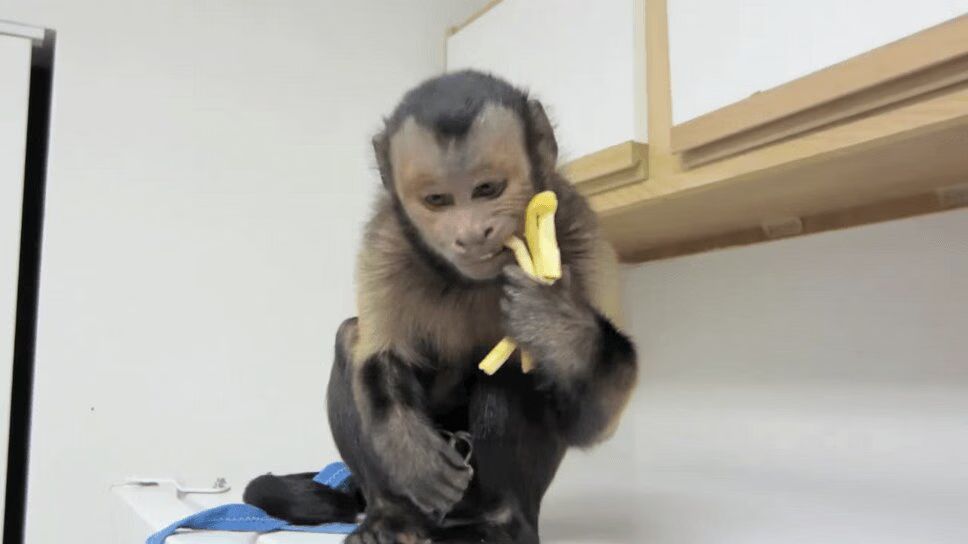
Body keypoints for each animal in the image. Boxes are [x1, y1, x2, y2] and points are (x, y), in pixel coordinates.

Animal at [243, 70, 638, 544]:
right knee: (350, 339)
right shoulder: (385, 241)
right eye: (438, 200)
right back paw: (392, 518)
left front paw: (556, 324)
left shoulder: (578, 231)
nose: (470, 234)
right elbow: (379, 356)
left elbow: (588, 421)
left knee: (512, 371)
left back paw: (500, 522)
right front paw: (408, 450)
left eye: (487, 189)